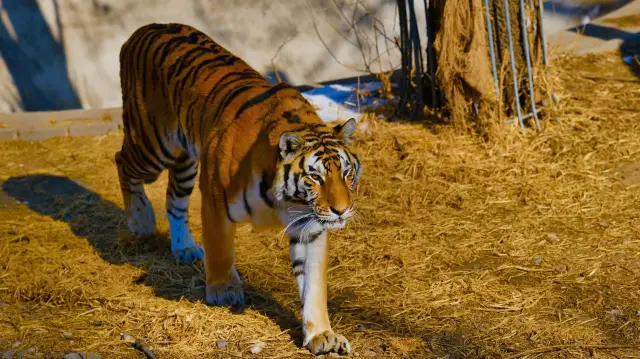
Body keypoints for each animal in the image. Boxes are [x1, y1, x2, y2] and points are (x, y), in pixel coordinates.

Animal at [115, 23, 362, 358]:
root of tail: (145, 28)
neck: (287, 201)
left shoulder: (310, 228)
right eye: (315, 176)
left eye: (346, 173)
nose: (341, 210)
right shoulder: (215, 201)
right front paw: (223, 290)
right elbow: (220, 250)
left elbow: (314, 285)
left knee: (173, 200)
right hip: (153, 144)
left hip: (184, 160)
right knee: (122, 160)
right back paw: (141, 220)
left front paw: (322, 335)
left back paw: (184, 248)